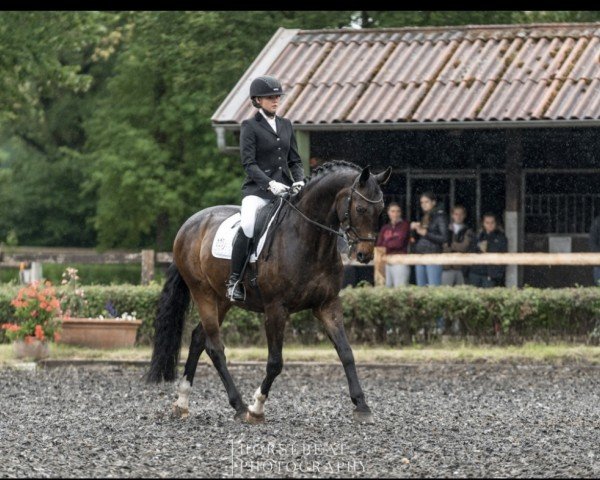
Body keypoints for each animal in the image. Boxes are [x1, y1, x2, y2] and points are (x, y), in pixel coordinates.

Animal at [146, 160, 394, 424]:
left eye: (381, 210)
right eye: (360, 208)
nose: (364, 255)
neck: (309, 239)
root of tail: (189, 225)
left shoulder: (328, 304)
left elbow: (346, 352)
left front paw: (362, 405)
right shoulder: (276, 309)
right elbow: (275, 362)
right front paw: (257, 407)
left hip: (222, 299)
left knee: (198, 339)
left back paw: (183, 402)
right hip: (202, 292)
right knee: (214, 347)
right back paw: (240, 405)